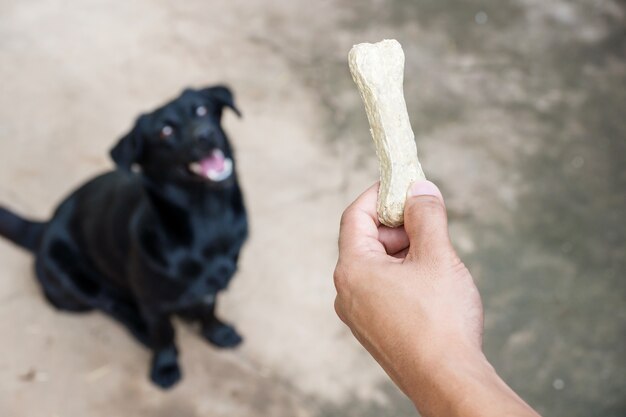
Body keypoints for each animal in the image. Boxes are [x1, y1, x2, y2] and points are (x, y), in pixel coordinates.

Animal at [0, 86, 247, 388]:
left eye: (202, 109)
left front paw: (218, 333)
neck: (209, 218)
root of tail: (45, 226)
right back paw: (142, 329)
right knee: (114, 305)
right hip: (76, 285)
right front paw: (165, 366)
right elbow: (164, 333)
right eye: (165, 131)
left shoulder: (213, 285)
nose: (205, 134)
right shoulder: (153, 302)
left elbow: (210, 310)